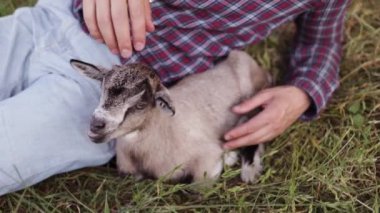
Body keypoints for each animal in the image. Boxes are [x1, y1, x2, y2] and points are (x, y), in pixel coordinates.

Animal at [70, 50, 270, 183]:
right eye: (102, 89)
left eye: (141, 105)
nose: (96, 125)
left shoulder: (207, 157)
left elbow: (200, 184)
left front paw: (229, 157)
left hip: (254, 96)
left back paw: (248, 170)